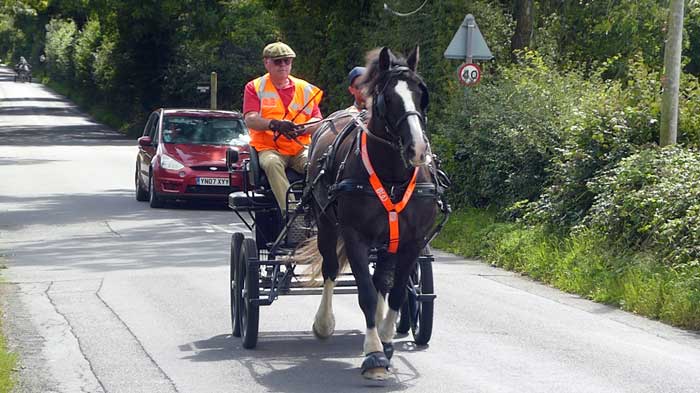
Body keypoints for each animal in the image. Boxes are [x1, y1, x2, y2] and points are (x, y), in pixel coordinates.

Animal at [294, 46, 438, 380]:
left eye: (421, 94)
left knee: (382, 278)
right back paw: (324, 323)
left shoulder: (411, 241)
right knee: (331, 268)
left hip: (388, 240)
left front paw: (385, 339)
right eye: (388, 98)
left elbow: (394, 290)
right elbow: (366, 294)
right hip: (326, 222)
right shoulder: (355, 236)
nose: (418, 149)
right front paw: (374, 354)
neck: (393, 178)